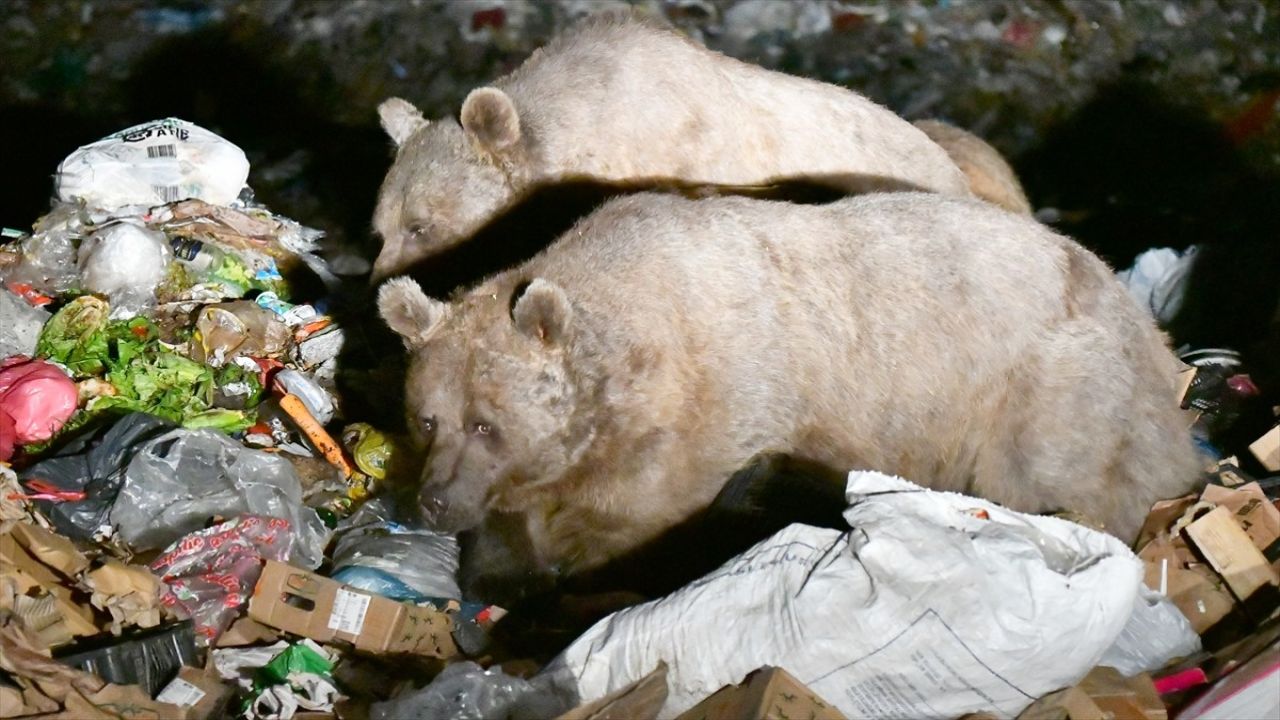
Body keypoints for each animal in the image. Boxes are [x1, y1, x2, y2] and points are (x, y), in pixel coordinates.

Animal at [376, 189, 1198, 594]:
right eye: (427, 419)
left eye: (487, 423)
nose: (434, 502)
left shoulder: (708, 414)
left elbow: (630, 523)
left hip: (1053, 389)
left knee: (1055, 476)